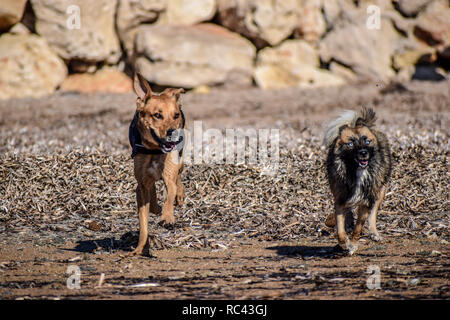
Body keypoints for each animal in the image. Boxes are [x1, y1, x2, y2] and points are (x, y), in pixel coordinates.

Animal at [129, 72, 185, 255]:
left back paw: (179, 196)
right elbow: (143, 223)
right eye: (157, 115)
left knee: (179, 176)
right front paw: (140, 248)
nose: (173, 132)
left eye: (176, 115)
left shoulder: (169, 174)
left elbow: (170, 193)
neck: (154, 150)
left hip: (179, 161)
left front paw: (167, 217)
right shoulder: (141, 185)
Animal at [324, 107, 390, 255]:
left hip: (379, 191)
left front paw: (353, 244)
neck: (357, 171)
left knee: (373, 213)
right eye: (350, 143)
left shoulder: (365, 202)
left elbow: (358, 228)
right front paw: (344, 242)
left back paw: (374, 232)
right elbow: (340, 229)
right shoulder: (339, 200)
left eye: (367, 141)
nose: (363, 153)